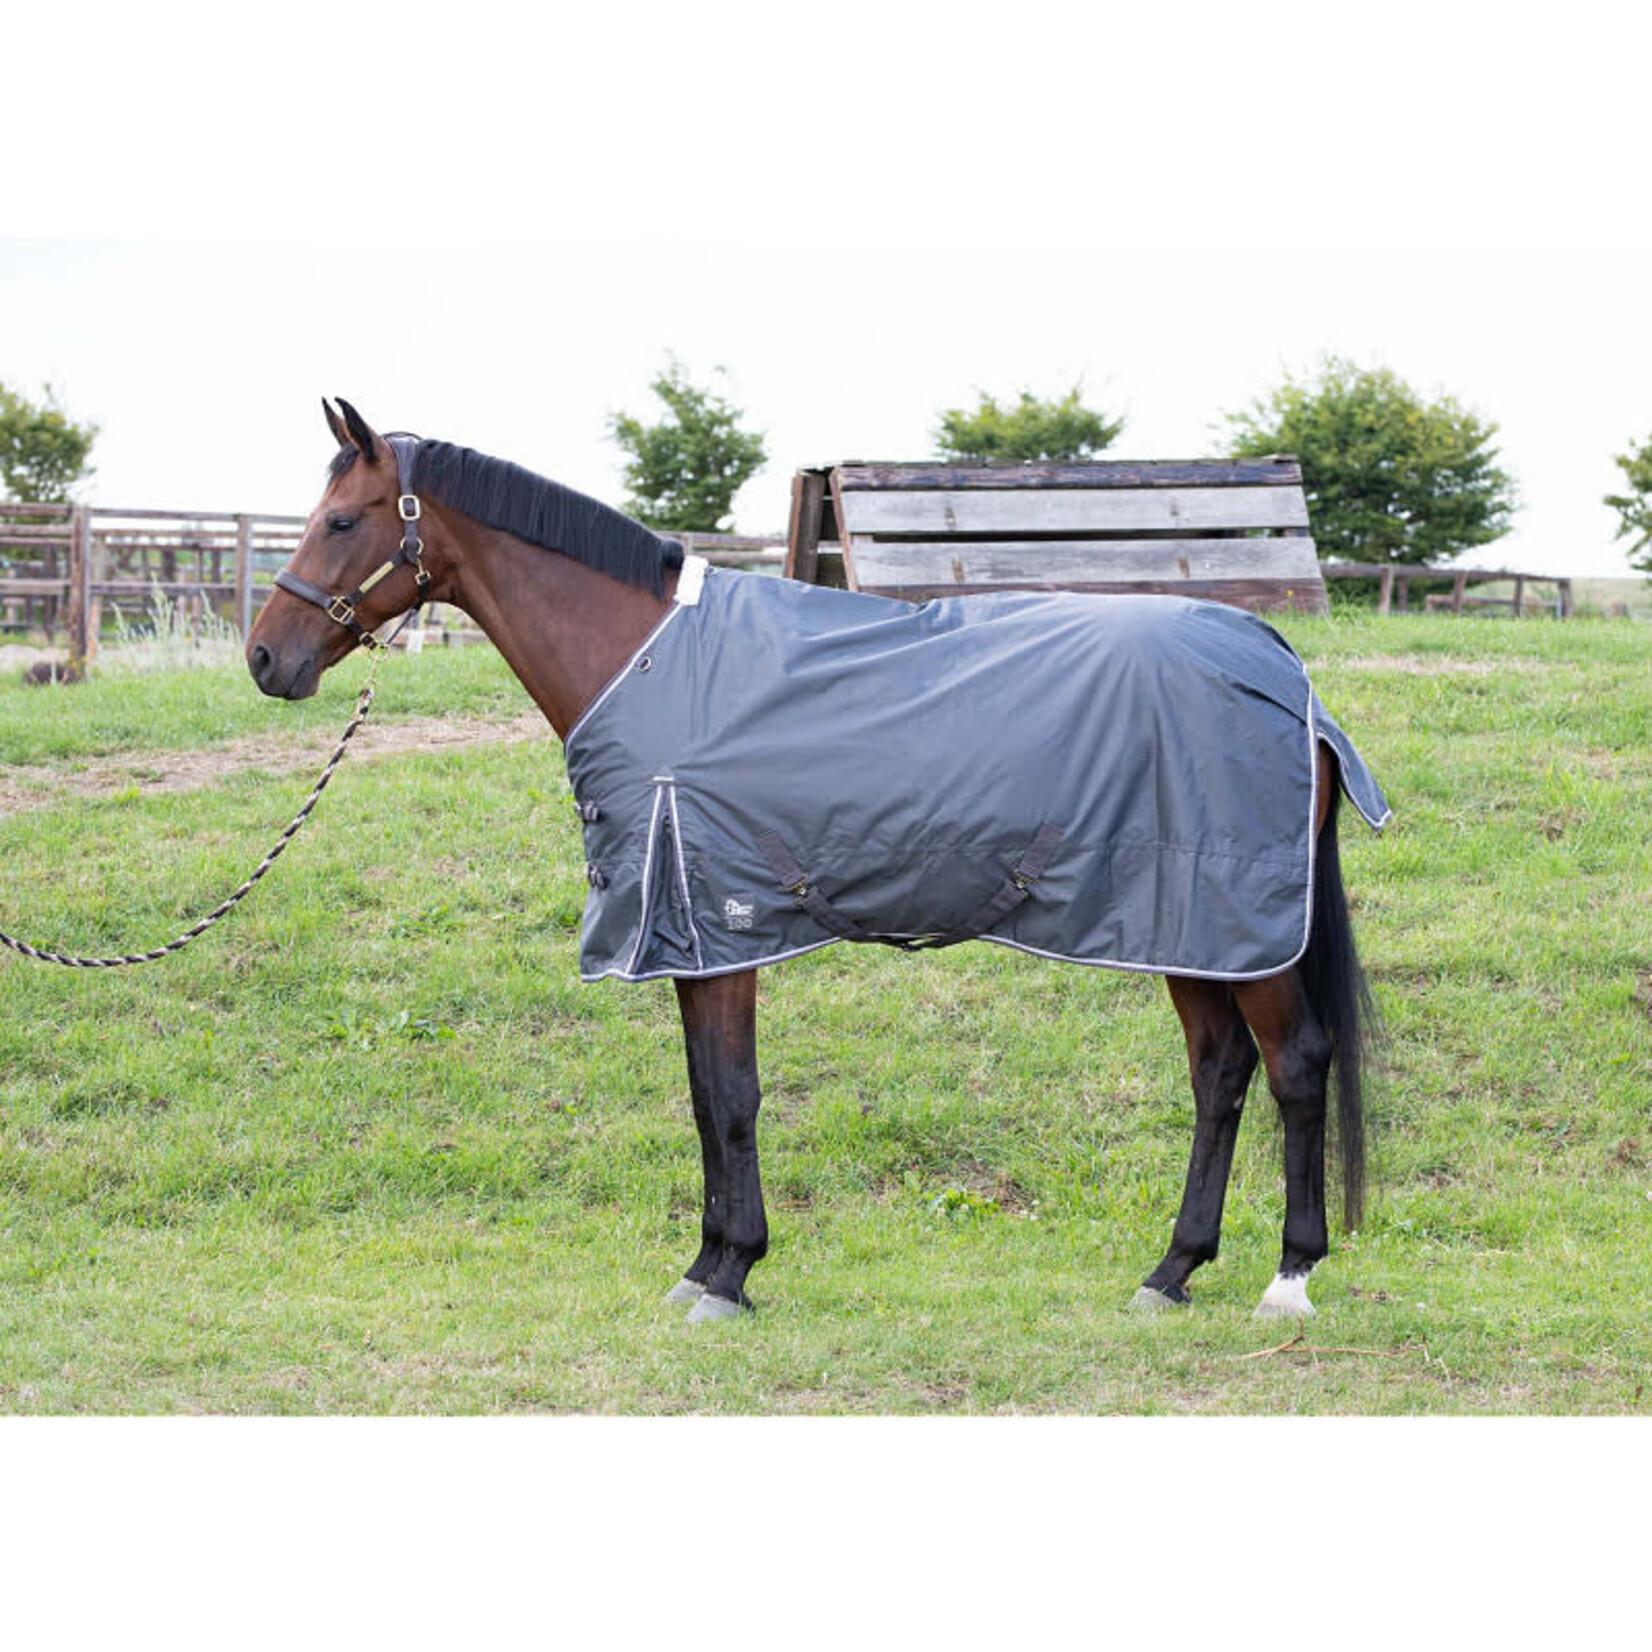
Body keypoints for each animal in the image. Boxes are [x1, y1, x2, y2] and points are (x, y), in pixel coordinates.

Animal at [247, 398, 1386, 1324]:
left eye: (342, 519)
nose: (266, 657)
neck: (650, 660)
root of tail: (1279, 665)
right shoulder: (695, 933)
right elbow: (705, 1094)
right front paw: (706, 1267)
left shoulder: (717, 922)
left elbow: (732, 1097)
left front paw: (730, 1274)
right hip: (1187, 925)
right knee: (1218, 1071)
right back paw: (1171, 1270)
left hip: (1237, 923)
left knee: (1293, 1066)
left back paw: (1287, 1278)